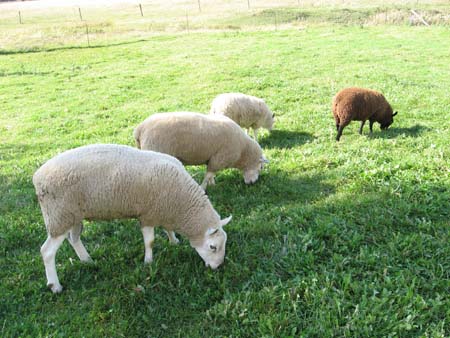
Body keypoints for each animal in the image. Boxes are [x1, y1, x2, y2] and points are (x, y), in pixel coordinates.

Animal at [32, 144, 232, 292]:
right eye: (213, 247)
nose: (217, 268)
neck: (182, 206)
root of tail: (37, 176)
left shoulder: (163, 209)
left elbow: (168, 229)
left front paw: (174, 241)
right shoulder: (148, 214)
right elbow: (150, 241)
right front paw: (148, 262)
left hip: (73, 215)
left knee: (74, 239)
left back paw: (87, 260)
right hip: (59, 216)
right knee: (47, 251)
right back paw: (55, 286)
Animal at [134, 111, 268, 189]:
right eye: (261, 167)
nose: (253, 183)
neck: (243, 151)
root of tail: (140, 129)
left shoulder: (213, 158)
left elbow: (211, 174)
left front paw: (212, 184)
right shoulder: (219, 158)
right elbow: (208, 174)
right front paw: (203, 187)